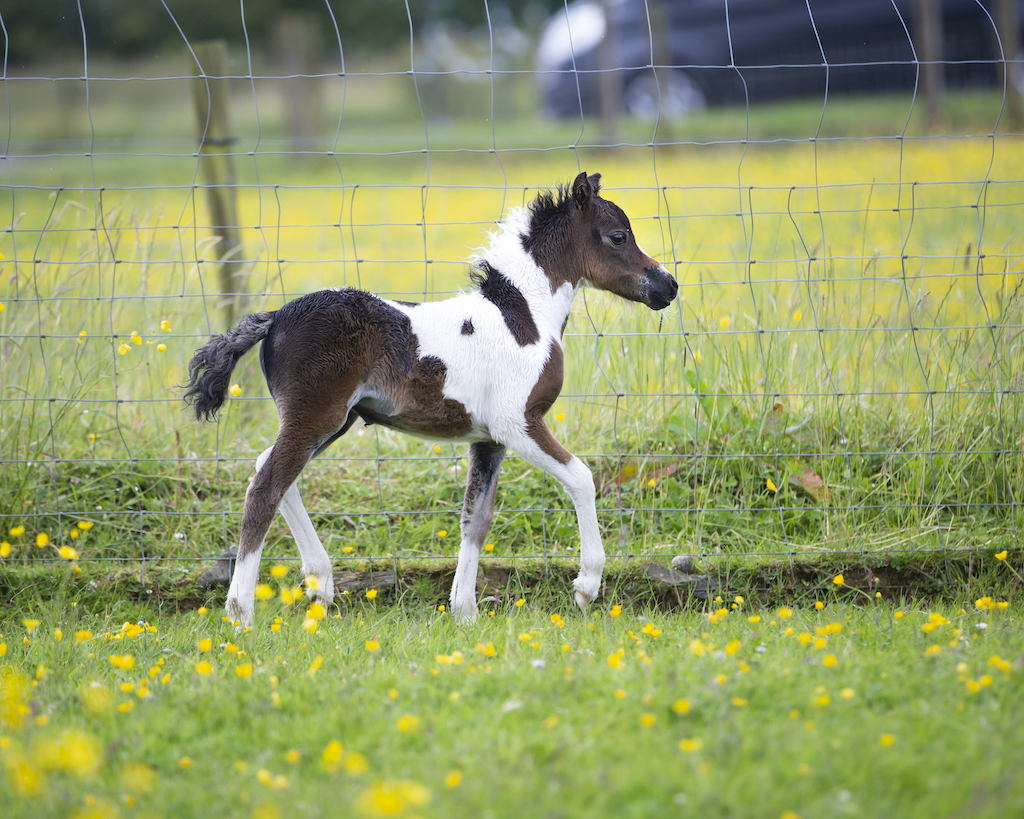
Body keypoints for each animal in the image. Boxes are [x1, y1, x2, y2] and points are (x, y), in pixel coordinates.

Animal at [184, 172, 678, 626]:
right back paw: (241, 612)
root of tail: (273, 319)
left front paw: (464, 612)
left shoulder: (489, 439)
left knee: (268, 471)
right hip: (315, 417)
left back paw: (320, 584)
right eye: (618, 236)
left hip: (332, 422)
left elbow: (476, 517)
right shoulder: (517, 423)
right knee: (266, 486)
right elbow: (580, 477)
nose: (668, 286)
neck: (525, 317)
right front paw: (586, 586)